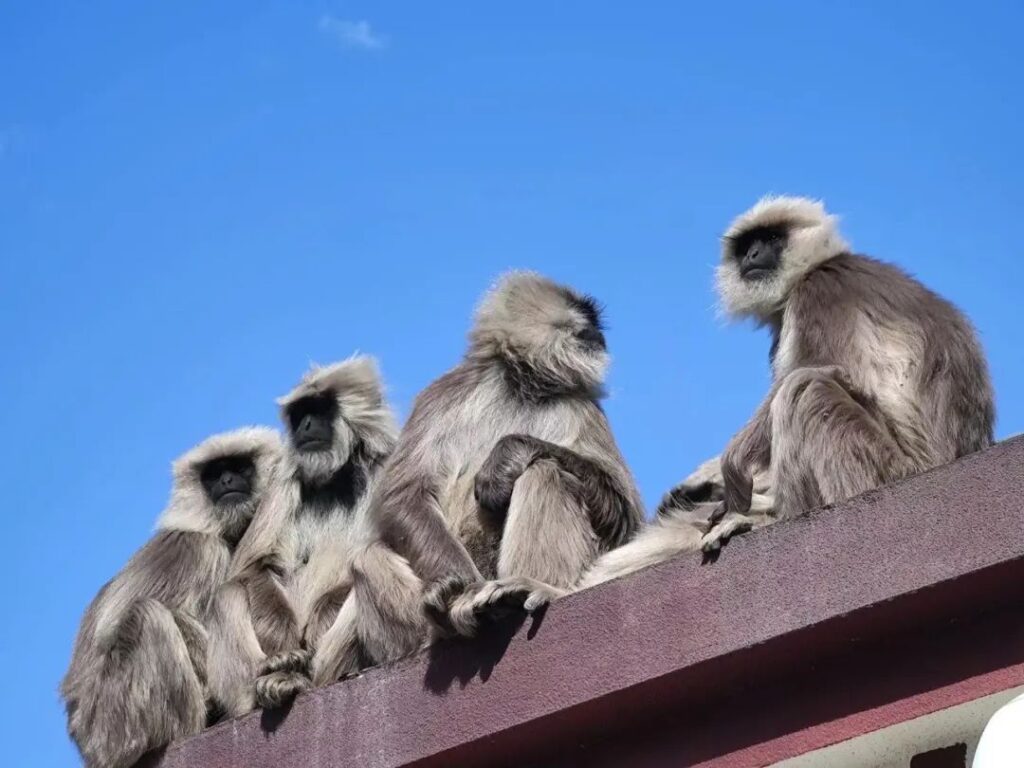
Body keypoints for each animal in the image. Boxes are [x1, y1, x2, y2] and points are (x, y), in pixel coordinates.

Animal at [60, 428, 284, 768]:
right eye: (213, 474)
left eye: (239, 466)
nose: (227, 481)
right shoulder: (199, 549)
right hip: (113, 726)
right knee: (147, 616)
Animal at [205, 358, 397, 720]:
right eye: (299, 414)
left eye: (318, 410)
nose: (304, 426)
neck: (336, 480)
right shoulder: (285, 479)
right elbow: (253, 565)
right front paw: (282, 643)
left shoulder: (384, 465)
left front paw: (321, 618)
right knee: (229, 591)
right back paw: (274, 679)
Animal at [315, 270, 643, 671]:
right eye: (587, 316)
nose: (599, 334)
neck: (521, 386)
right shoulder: (447, 390)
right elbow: (403, 495)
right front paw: (463, 592)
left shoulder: (581, 404)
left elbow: (625, 515)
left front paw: (509, 454)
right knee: (368, 553)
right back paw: (447, 618)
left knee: (545, 471)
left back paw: (530, 588)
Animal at [688, 195, 991, 548]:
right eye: (746, 245)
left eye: (772, 237)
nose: (752, 255)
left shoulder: (820, 291)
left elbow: (828, 368)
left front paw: (731, 466)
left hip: (886, 472)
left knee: (805, 388)